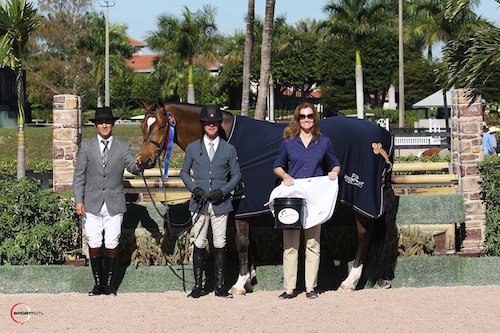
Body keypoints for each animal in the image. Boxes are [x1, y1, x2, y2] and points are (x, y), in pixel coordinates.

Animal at [139, 102, 396, 294]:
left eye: (161, 125)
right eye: (143, 125)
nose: (144, 161)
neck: (226, 137)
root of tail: (384, 136)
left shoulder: (241, 206)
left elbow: (242, 242)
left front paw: (239, 284)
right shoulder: (243, 208)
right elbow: (248, 242)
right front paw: (249, 279)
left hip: (363, 201)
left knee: (365, 236)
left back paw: (350, 281)